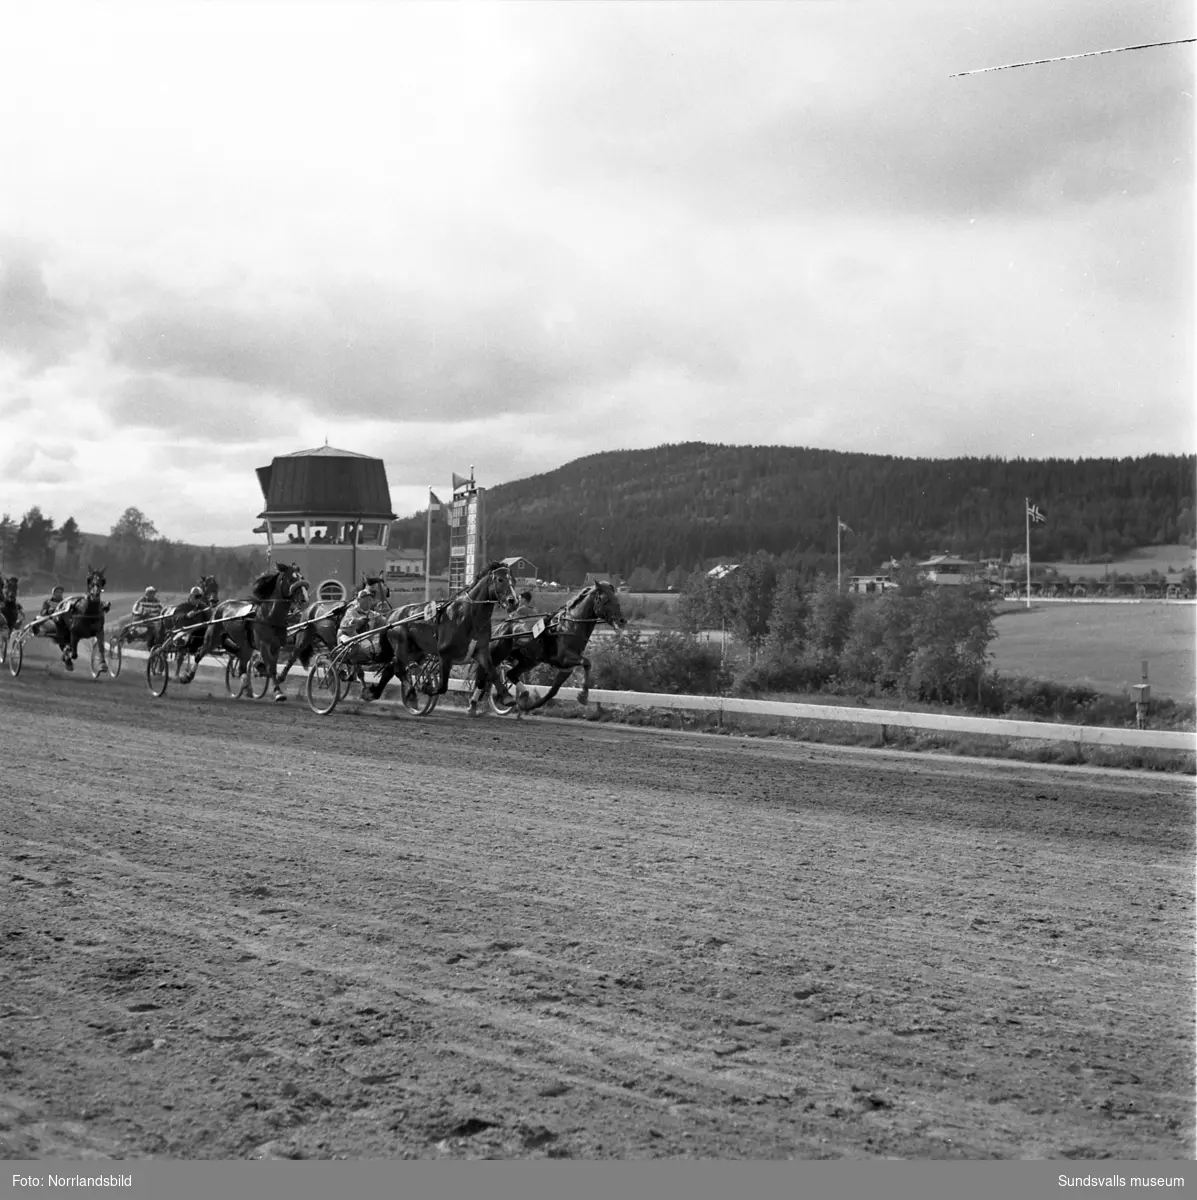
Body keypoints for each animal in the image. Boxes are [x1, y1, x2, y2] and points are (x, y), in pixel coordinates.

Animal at [189, 564, 307, 700]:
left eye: (301, 577)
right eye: (291, 579)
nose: (304, 598)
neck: (269, 616)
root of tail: (221, 605)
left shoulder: (276, 646)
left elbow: (272, 667)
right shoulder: (263, 644)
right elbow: (269, 667)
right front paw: (278, 693)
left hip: (246, 646)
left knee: (242, 666)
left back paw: (247, 688)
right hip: (213, 637)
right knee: (200, 653)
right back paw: (187, 676)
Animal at [369, 561, 520, 710]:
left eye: (514, 580)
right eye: (500, 579)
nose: (514, 601)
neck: (468, 616)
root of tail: (392, 615)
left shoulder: (481, 650)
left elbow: (493, 672)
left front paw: (508, 698)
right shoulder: (444, 655)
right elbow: (442, 687)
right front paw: (426, 687)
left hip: (416, 651)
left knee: (393, 667)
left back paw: (375, 692)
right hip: (401, 646)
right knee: (399, 669)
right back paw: (410, 692)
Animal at [479, 578, 628, 710]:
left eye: (616, 599)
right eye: (605, 599)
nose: (621, 620)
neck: (571, 624)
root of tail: (502, 626)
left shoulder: (566, 667)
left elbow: (553, 691)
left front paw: (531, 706)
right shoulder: (565, 657)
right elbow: (587, 662)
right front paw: (583, 695)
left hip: (529, 661)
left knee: (511, 674)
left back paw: (523, 696)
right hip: (498, 653)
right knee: (489, 671)